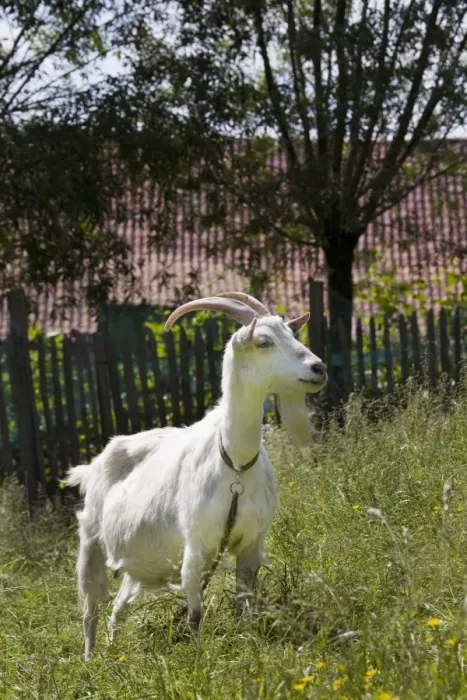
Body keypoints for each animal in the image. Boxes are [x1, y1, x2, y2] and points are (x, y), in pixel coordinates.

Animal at [65, 292, 327, 660]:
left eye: (292, 334)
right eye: (264, 341)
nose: (319, 368)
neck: (235, 464)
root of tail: (94, 465)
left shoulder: (252, 543)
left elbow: (244, 604)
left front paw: (246, 644)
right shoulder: (196, 544)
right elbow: (195, 613)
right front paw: (198, 656)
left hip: (135, 564)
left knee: (118, 608)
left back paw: (114, 650)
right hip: (90, 541)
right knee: (90, 608)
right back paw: (91, 660)